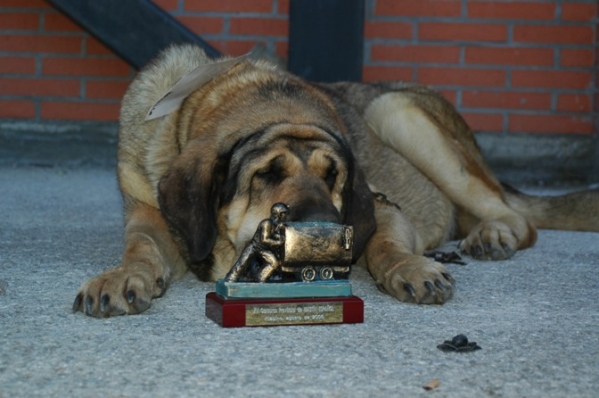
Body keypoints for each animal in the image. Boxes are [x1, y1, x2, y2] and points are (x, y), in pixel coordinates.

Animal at [74, 44, 599, 318]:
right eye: (266, 174)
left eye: (335, 177)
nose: (324, 235)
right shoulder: (147, 213)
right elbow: (141, 246)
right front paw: (122, 276)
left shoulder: (383, 209)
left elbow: (386, 244)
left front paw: (412, 269)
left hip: (395, 110)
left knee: (519, 220)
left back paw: (492, 235)